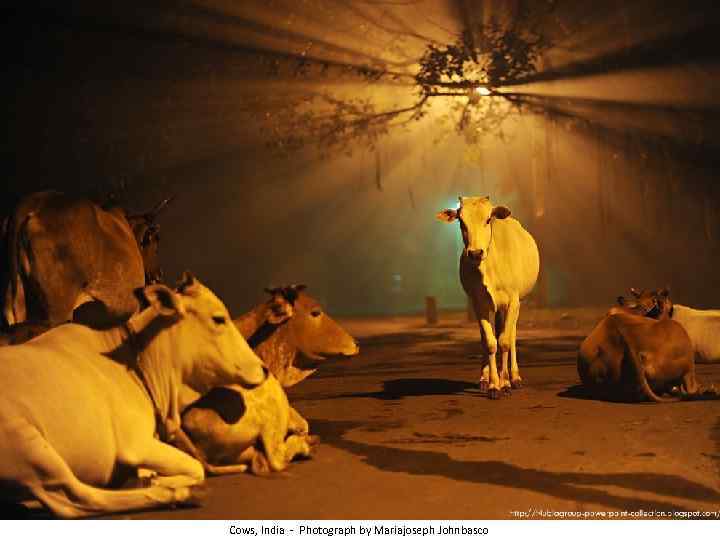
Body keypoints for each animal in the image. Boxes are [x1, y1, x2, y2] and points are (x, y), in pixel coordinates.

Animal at [0, 274, 266, 520]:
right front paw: (161, 482)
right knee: (77, 500)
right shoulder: (136, 445)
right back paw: (179, 495)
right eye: (218, 318)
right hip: (31, 445)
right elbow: (197, 468)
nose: (264, 369)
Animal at [436, 196, 536, 398]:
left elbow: (505, 341)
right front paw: (493, 385)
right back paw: (484, 378)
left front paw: (505, 383)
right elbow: (489, 342)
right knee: (487, 337)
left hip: (515, 304)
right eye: (461, 222)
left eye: (488, 219)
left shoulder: (513, 301)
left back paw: (515, 377)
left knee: (511, 334)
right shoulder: (479, 303)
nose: (475, 253)